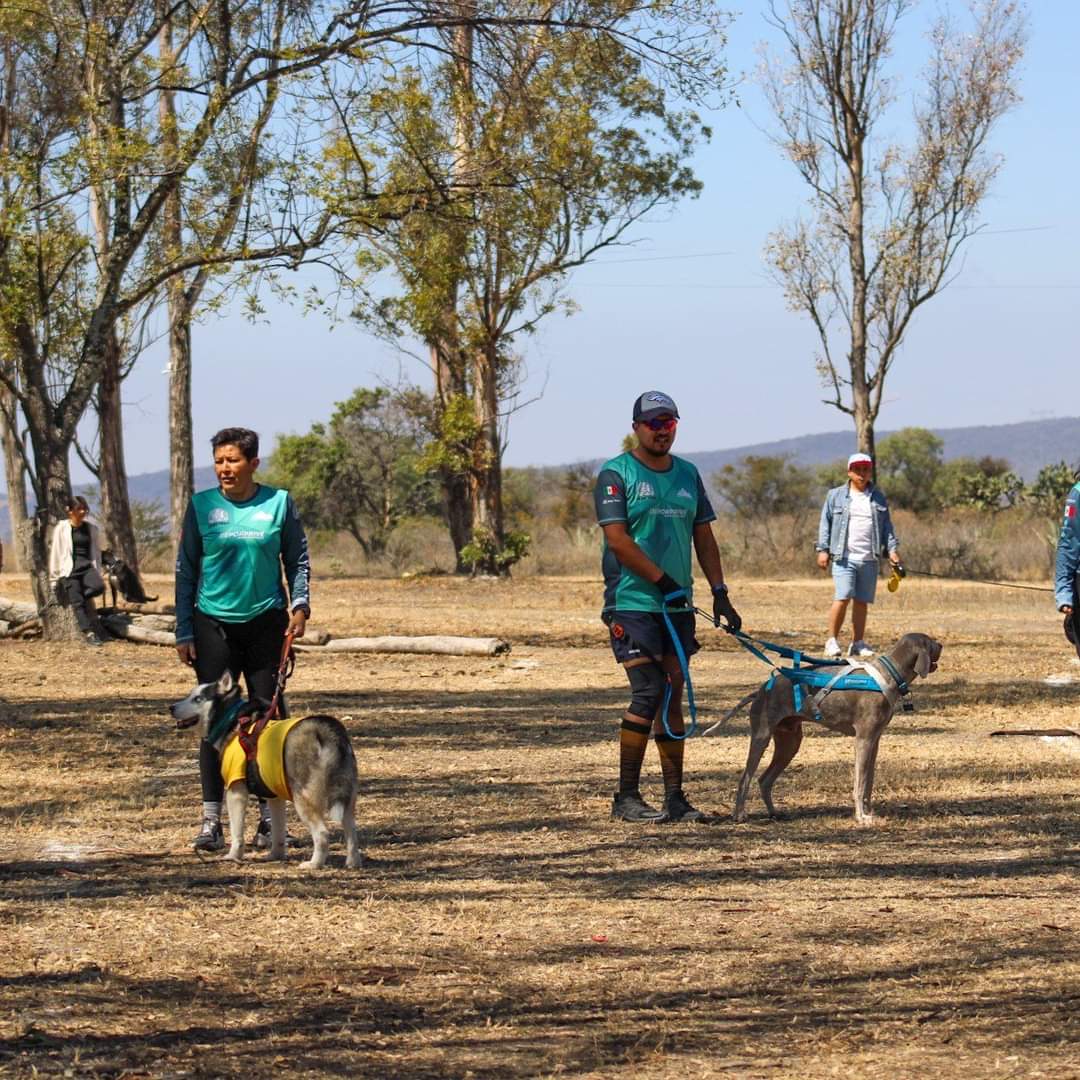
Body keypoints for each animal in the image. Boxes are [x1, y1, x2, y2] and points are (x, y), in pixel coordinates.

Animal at [169, 673, 362, 868]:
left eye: (197, 699)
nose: (171, 707)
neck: (233, 721)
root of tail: (326, 729)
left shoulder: (235, 792)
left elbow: (237, 833)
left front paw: (233, 856)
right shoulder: (275, 796)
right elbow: (277, 831)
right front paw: (275, 855)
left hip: (303, 800)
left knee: (322, 833)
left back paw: (313, 864)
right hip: (346, 800)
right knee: (352, 831)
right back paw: (353, 862)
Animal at [730, 630, 941, 825]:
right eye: (931, 642)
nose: (941, 645)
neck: (890, 673)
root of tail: (760, 690)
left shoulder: (874, 740)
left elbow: (869, 782)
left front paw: (869, 812)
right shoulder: (863, 739)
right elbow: (860, 783)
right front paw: (861, 817)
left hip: (790, 742)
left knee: (764, 780)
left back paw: (774, 813)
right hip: (762, 735)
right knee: (745, 778)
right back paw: (739, 814)